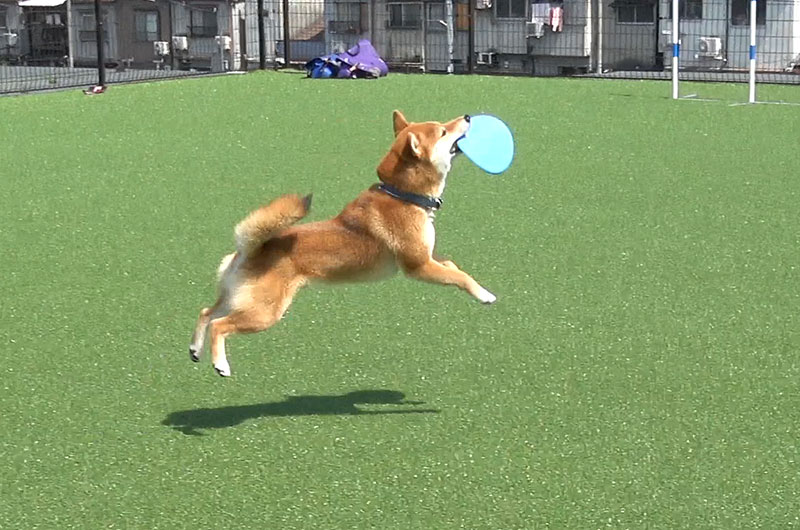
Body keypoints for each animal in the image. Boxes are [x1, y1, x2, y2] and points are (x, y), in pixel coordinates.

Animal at [191, 110, 496, 376]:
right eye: (443, 131)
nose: (468, 116)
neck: (402, 195)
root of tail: (249, 249)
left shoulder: (427, 259)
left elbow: (452, 266)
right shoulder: (418, 266)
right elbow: (460, 277)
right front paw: (484, 294)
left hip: (238, 298)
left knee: (206, 312)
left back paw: (195, 348)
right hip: (264, 313)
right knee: (219, 325)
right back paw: (220, 364)